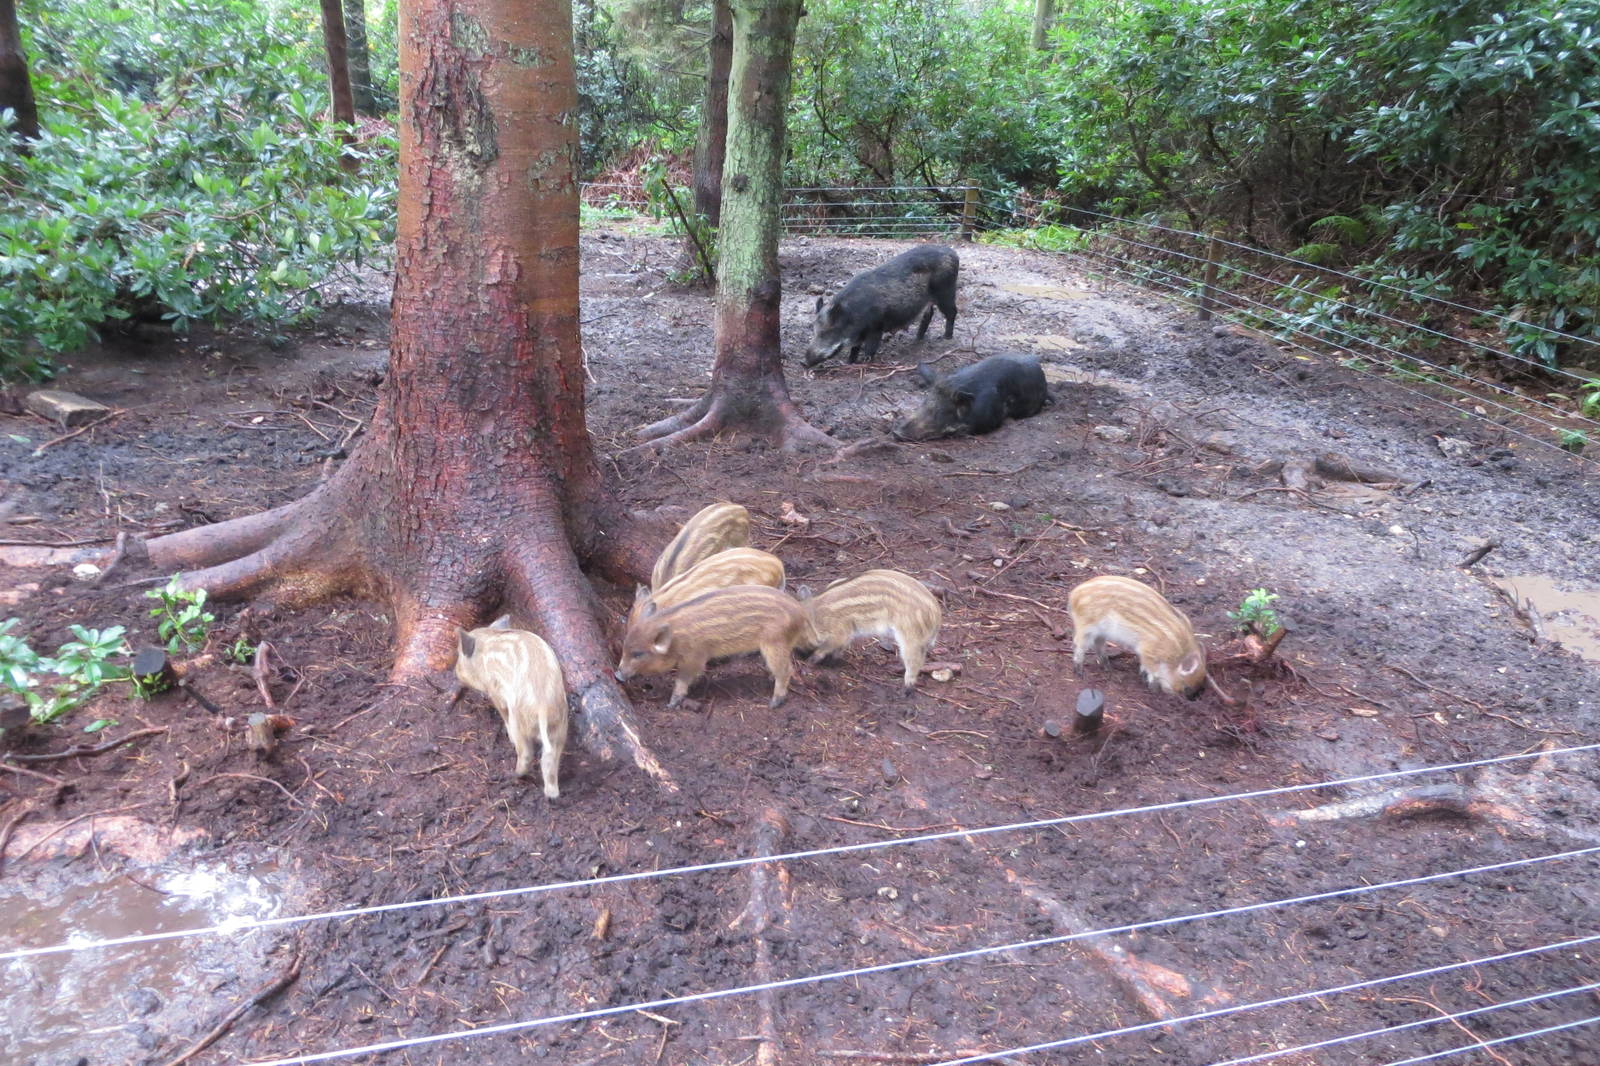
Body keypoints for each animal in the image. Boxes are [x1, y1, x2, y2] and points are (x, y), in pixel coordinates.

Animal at [454, 616, 570, 798]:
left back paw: (512, 775)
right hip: (559, 728)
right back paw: (551, 795)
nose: (455, 671)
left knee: (526, 753)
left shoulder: (495, 692)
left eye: (459, 654)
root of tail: (543, 707)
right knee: (549, 760)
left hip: (520, 723)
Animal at [615, 585, 810, 708]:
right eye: (624, 648)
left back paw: (774, 703)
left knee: (786, 670)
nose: (617, 675)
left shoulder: (695, 656)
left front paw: (672, 703)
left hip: (774, 642)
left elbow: (683, 678)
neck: (675, 639)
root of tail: (801, 611)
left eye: (638, 654)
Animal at [801, 569, 941, 691]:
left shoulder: (839, 631)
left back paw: (905, 689)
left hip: (911, 636)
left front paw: (811, 661)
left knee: (915, 661)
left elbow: (827, 647)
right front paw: (833, 662)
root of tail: (937, 614)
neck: (817, 616)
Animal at [804, 245, 960, 367]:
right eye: (814, 330)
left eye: (826, 332)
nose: (803, 362)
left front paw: (865, 362)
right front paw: (850, 362)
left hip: (946, 291)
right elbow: (855, 348)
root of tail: (953, 252)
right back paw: (918, 338)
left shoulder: (877, 327)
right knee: (928, 314)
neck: (853, 315)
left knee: (952, 312)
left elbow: (870, 348)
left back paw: (946, 337)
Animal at [1068, 575, 1206, 700]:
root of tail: (1074, 594)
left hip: (1100, 632)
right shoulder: (1148, 650)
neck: (1178, 653)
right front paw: (1153, 689)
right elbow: (1153, 671)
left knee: (1099, 645)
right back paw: (1079, 672)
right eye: (1185, 687)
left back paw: (1109, 668)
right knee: (1078, 645)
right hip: (1086, 626)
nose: (1178, 698)